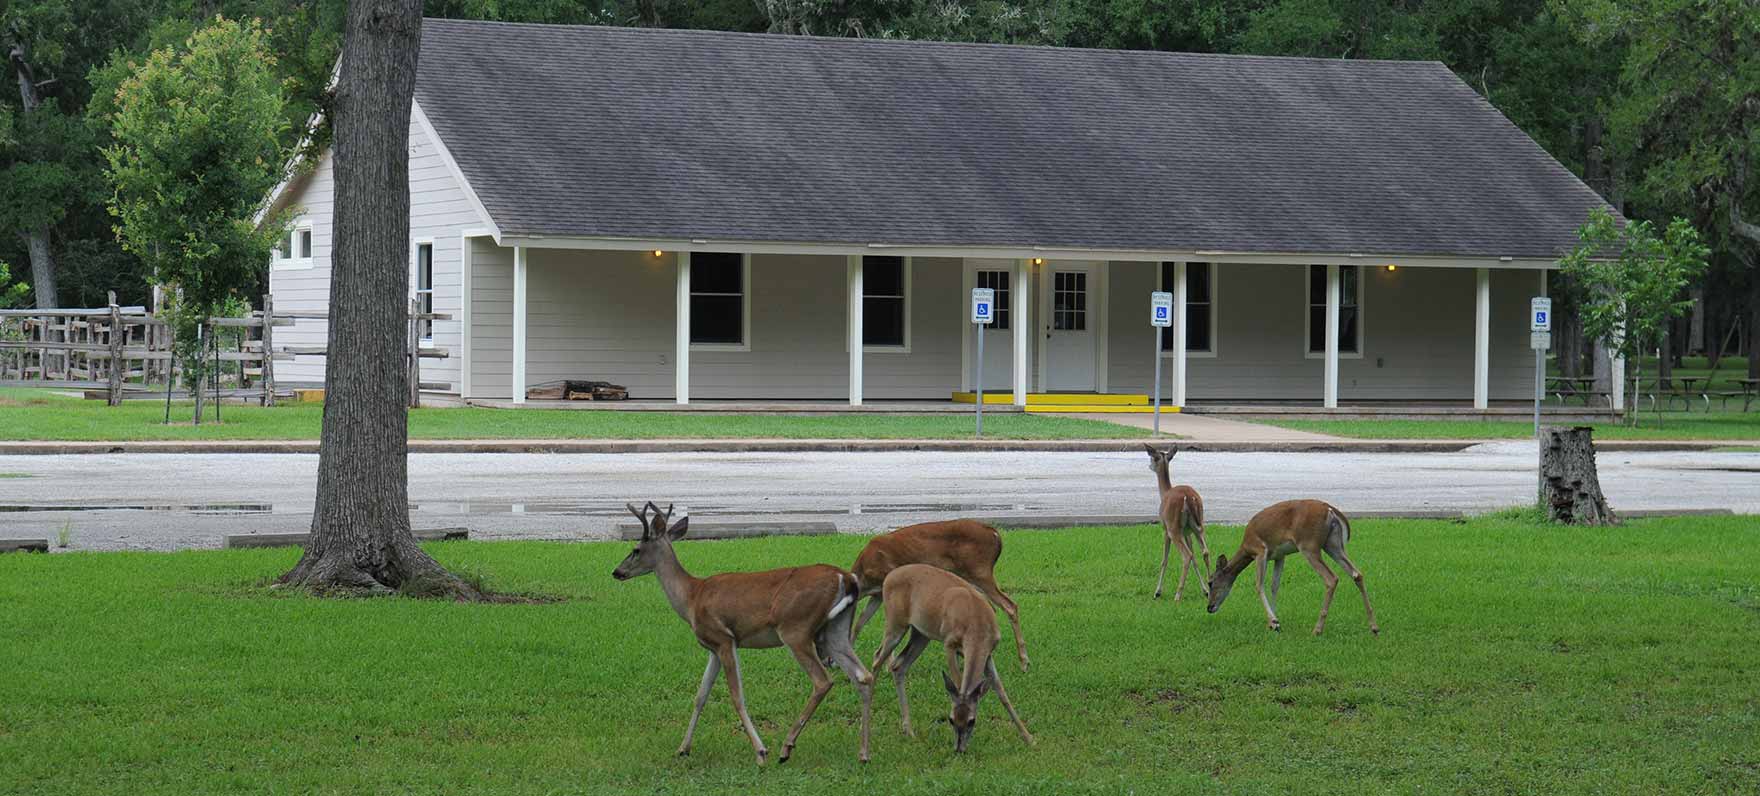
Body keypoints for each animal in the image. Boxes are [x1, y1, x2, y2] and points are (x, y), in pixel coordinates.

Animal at [612, 503, 872, 764]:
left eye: (635, 549)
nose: (616, 571)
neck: (692, 598)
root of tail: (846, 577)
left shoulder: (725, 639)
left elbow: (737, 696)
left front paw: (760, 751)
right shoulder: (712, 648)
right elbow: (700, 696)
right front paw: (683, 748)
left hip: (796, 629)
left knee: (823, 681)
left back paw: (786, 747)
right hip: (835, 631)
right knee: (863, 676)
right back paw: (863, 753)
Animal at [844, 517, 1027, 672]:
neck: (863, 577)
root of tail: (995, 533)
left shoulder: (887, 584)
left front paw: (886, 663)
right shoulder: (877, 594)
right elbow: (860, 621)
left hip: (979, 571)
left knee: (1009, 605)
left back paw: (1024, 662)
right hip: (969, 575)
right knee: (991, 606)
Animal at [865, 563, 1027, 757]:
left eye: (972, 721)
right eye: (951, 719)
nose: (959, 749)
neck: (977, 625)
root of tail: (889, 577)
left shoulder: (988, 652)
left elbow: (1001, 691)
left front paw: (1028, 738)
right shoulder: (949, 643)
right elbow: (958, 682)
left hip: (921, 634)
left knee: (898, 666)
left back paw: (909, 730)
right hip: (895, 623)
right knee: (877, 660)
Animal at [1140, 443, 1210, 598]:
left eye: (1153, 458)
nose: (1149, 465)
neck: (1164, 493)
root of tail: (1189, 498)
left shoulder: (1165, 529)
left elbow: (1164, 560)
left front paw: (1157, 592)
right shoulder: (1187, 532)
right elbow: (1195, 559)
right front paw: (1204, 590)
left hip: (1173, 528)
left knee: (1187, 555)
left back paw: (1177, 594)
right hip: (1199, 525)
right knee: (1204, 552)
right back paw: (1211, 585)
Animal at [1203, 500, 1379, 637]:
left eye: (1210, 582)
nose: (1209, 607)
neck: (1246, 548)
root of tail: (1331, 511)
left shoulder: (1260, 550)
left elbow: (1259, 585)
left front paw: (1273, 622)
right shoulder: (1279, 555)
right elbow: (1274, 585)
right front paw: (1274, 623)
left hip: (1309, 545)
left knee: (1331, 578)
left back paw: (1317, 630)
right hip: (1333, 545)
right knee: (1357, 574)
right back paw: (1374, 627)